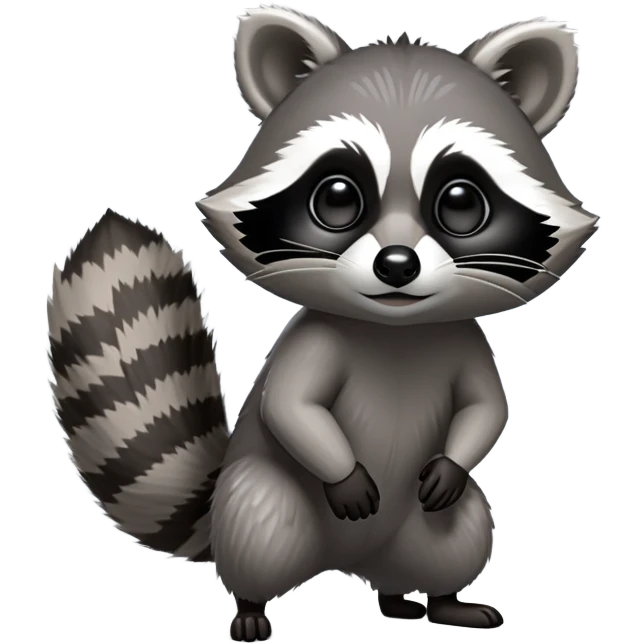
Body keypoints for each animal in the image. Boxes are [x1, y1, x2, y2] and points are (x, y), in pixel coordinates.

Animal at [48, 7, 597, 642]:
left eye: (461, 203)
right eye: (337, 197)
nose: (397, 266)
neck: (395, 329)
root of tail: (349, 562)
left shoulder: (463, 339)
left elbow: (488, 406)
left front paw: (457, 459)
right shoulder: (317, 340)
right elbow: (291, 407)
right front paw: (344, 472)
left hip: (425, 525)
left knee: (459, 534)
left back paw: (433, 602)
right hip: (263, 500)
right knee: (260, 522)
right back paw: (252, 606)